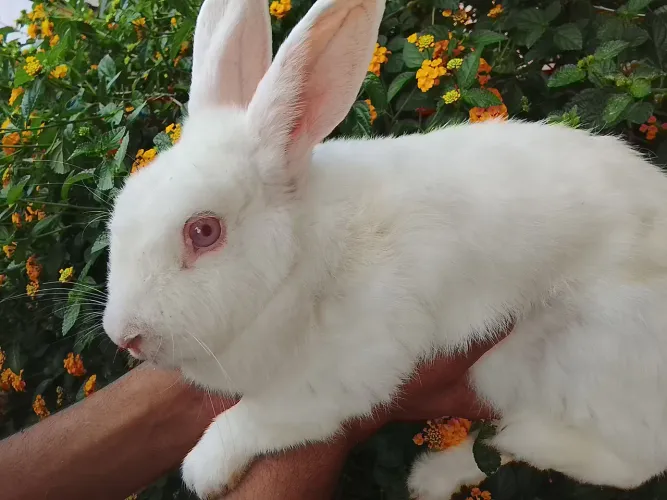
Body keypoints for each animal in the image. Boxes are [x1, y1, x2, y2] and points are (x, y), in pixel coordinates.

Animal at [101, 0, 667, 498]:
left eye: (203, 232)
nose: (124, 337)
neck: (306, 258)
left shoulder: (343, 373)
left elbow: (258, 417)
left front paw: (205, 469)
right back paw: (434, 477)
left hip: (585, 364)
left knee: (631, 463)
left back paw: (514, 437)